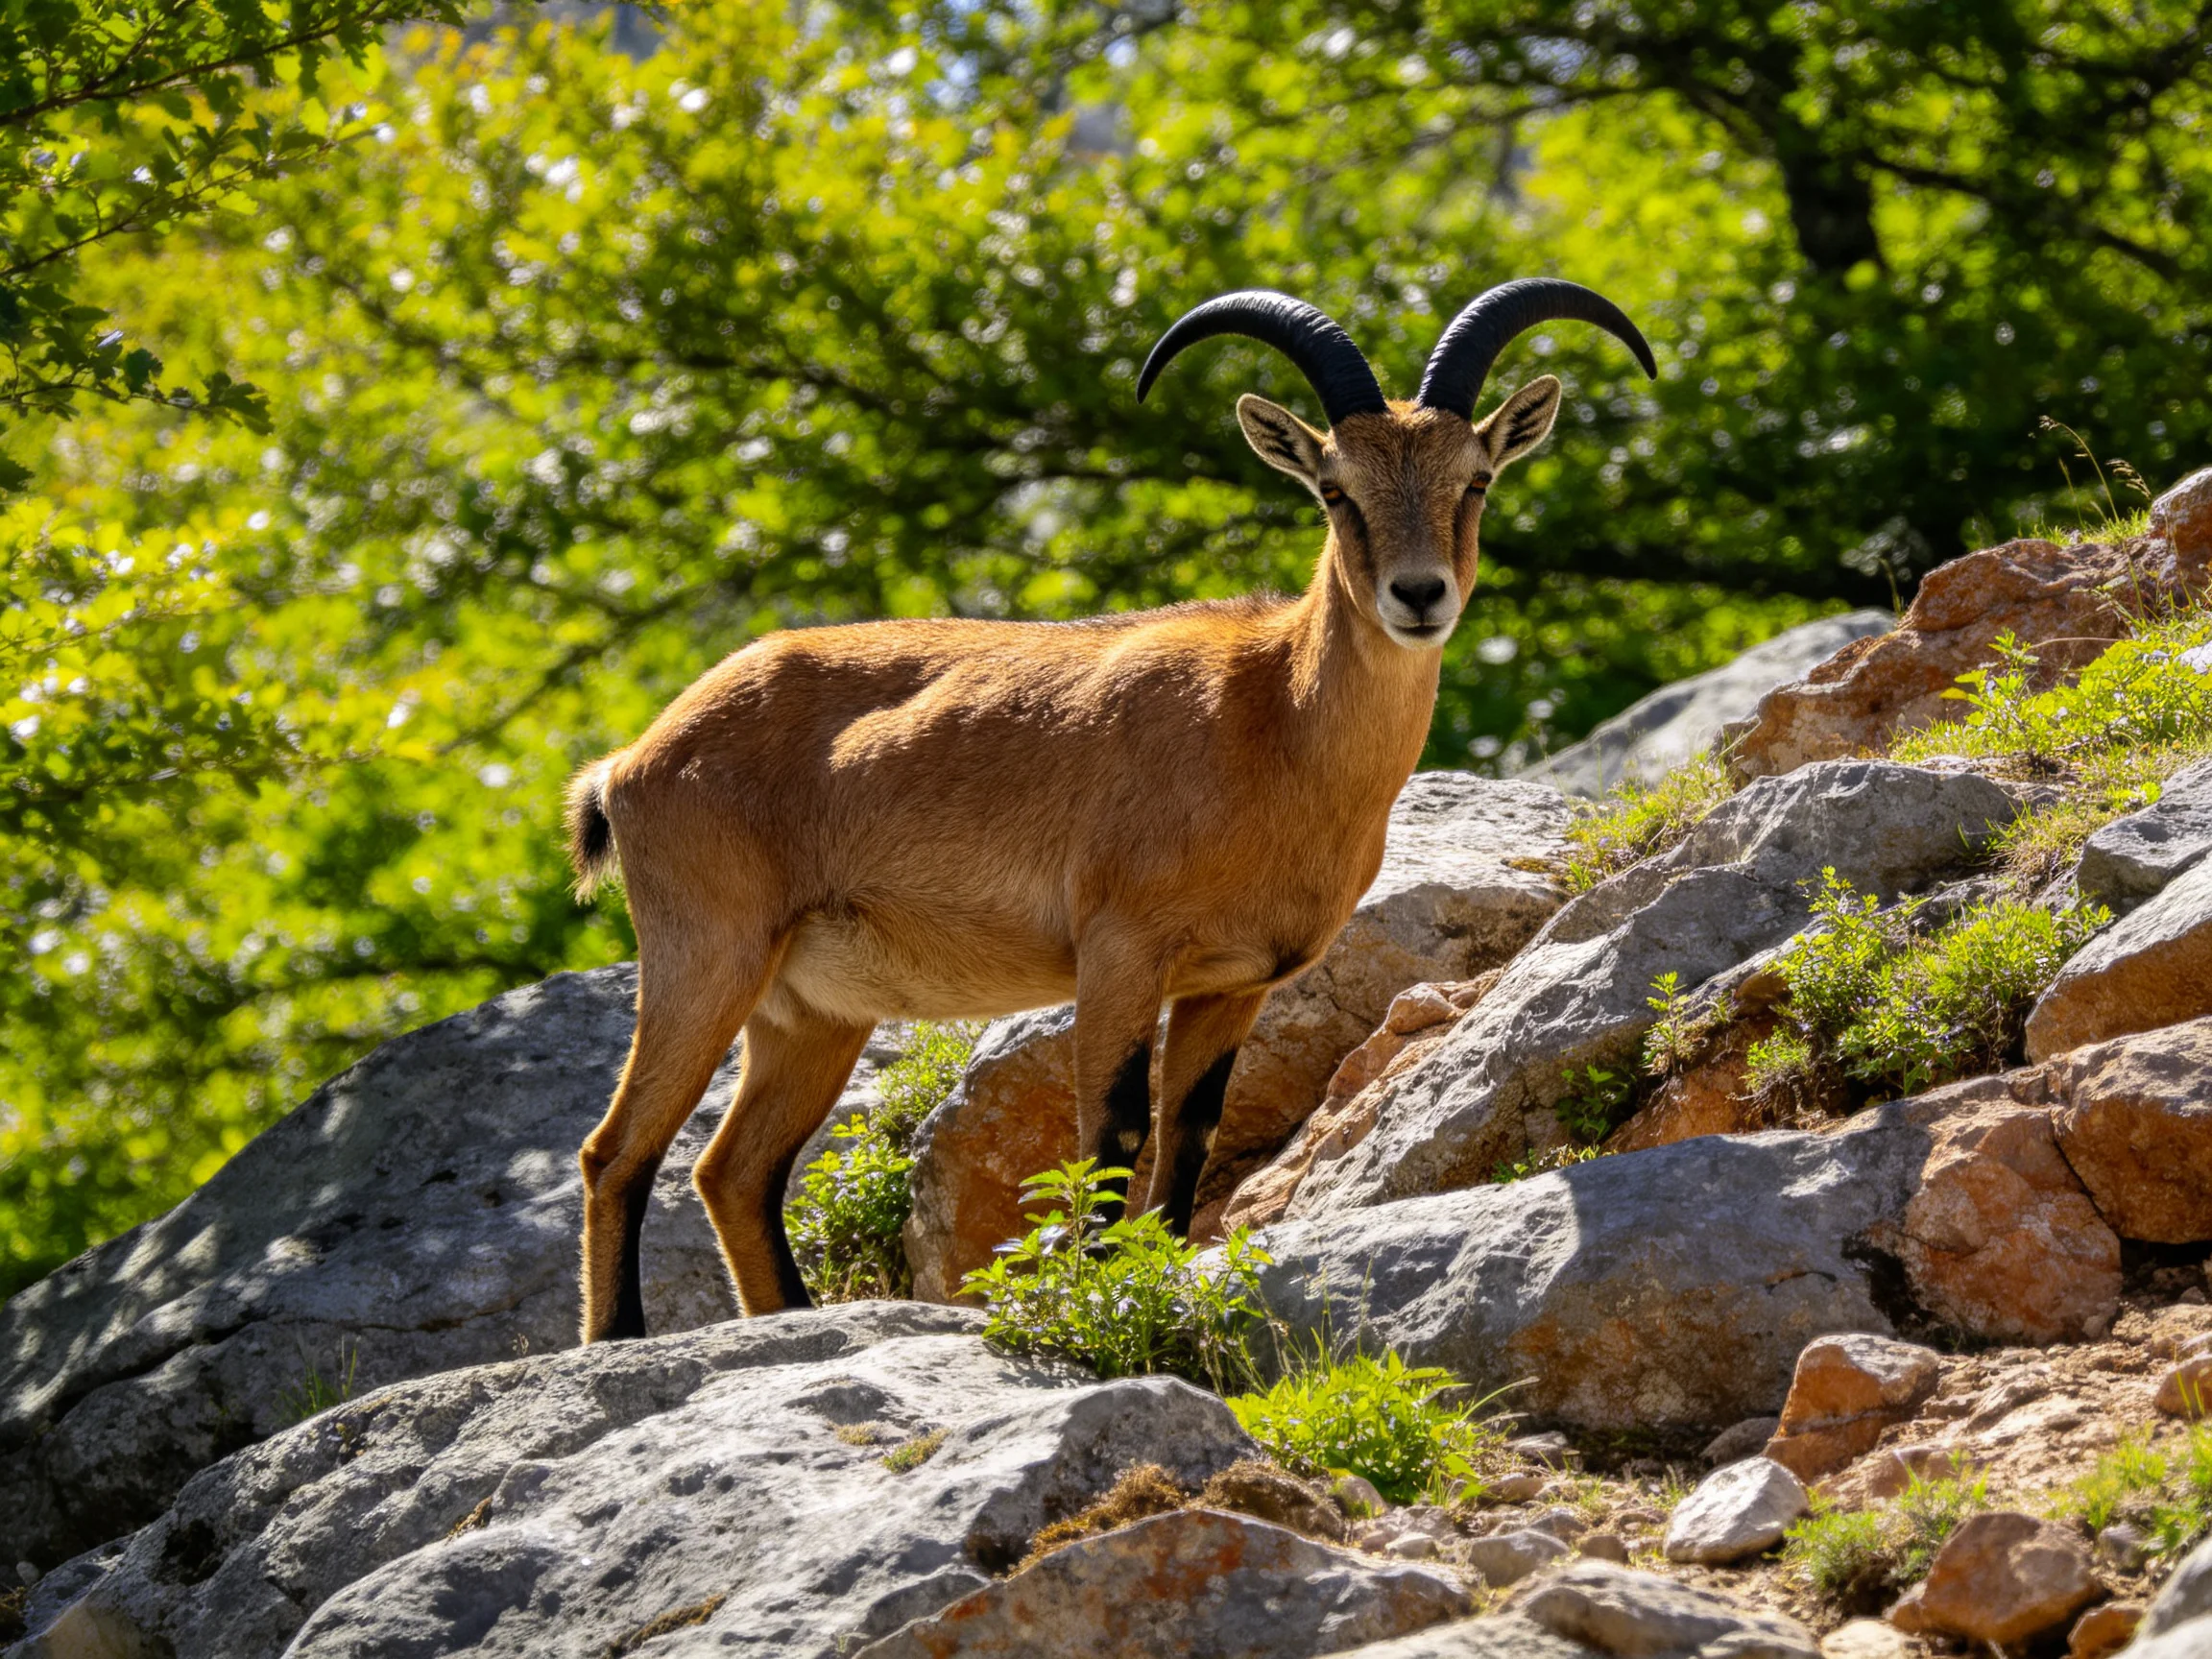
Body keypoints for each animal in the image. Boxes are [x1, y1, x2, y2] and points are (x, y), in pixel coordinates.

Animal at [564, 279, 1655, 1341]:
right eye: (1335, 490)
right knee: (617, 1152)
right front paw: (1098, 1299)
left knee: (733, 1169)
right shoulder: (1120, 948)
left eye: (1475, 480)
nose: (1419, 595)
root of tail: (631, 763)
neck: (1270, 722)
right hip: (708, 952)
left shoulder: (1233, 981)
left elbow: (1190, 1131)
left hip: (812, 1011)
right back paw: (617, 1337)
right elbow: (1116, 1130)